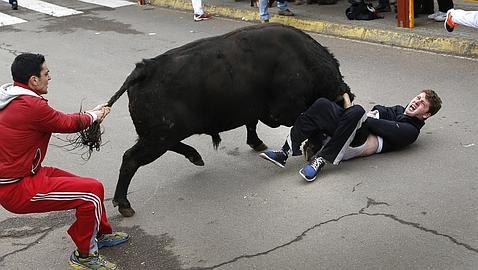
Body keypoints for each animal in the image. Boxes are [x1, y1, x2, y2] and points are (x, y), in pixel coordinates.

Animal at [85, 23, 354, 217]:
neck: (303, 62)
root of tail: (143, 69)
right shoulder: (282, 112)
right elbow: (305, 121)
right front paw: (312, 146)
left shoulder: (255, 110)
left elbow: (252, 123)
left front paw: (257, 143)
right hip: (157, 138)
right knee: (130, 159)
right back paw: (124, 204)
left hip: (160, 136)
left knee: (165, 147)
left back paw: (196, 156)